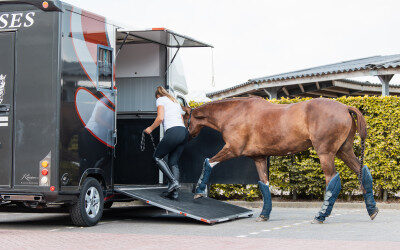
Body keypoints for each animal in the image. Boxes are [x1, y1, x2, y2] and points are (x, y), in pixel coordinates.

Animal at [183, 97, 380, 223]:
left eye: (184, 118)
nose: (186, 137)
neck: (235, 113)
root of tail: (346, 108)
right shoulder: (259, 158)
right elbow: (264, 185)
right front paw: (264, 214)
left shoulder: (232, 149)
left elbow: (208, 161)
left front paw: (199, 190)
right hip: (344, 151)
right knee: (363, 172)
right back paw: (372, 210)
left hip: (326, 154)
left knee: (333, 180)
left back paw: (321, 215)